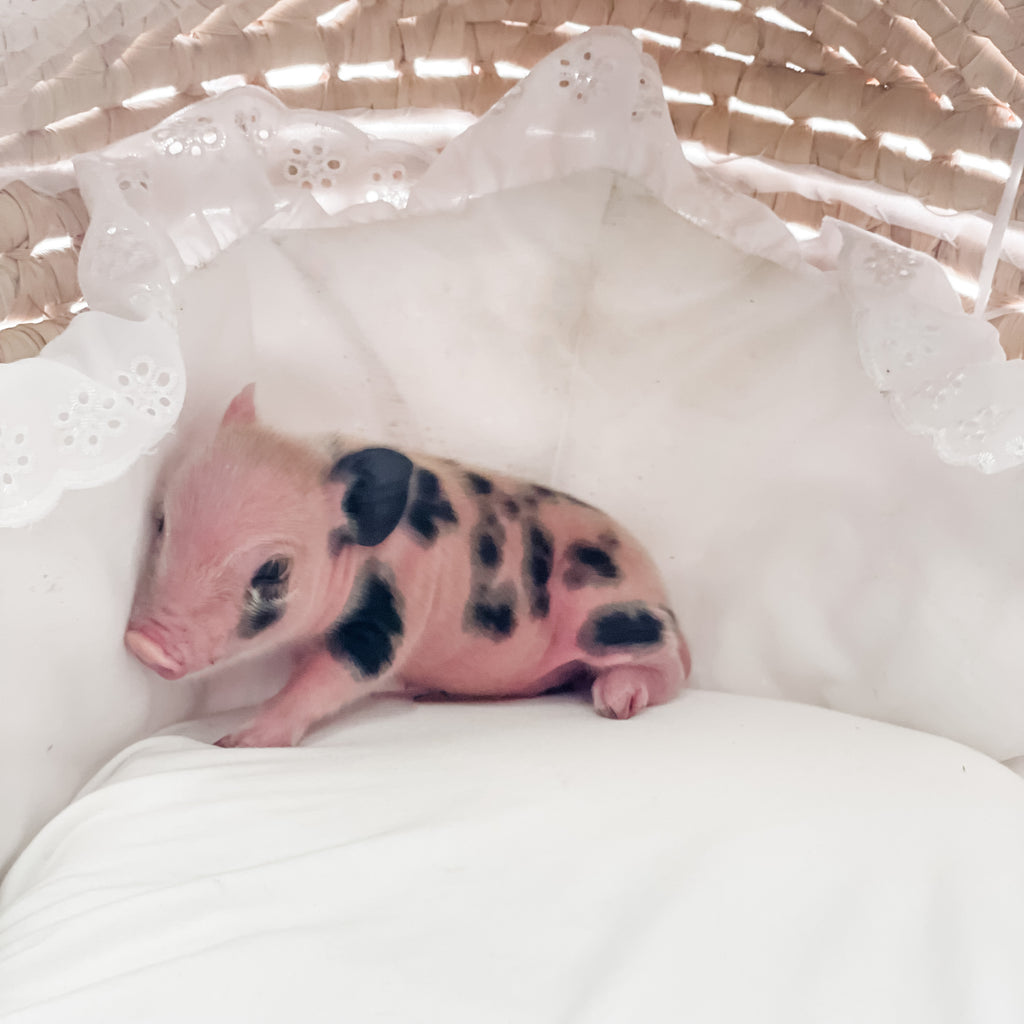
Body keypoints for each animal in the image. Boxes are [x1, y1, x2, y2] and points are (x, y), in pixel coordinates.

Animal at [124, 384, 690, 748]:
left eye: (273, 571)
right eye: (162, 522)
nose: (142, 643)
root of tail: (668, 602)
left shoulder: (393, 608)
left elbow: (337, 674)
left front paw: (234, 743)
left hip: (612, 616)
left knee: (673, 670)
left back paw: (616, 700)